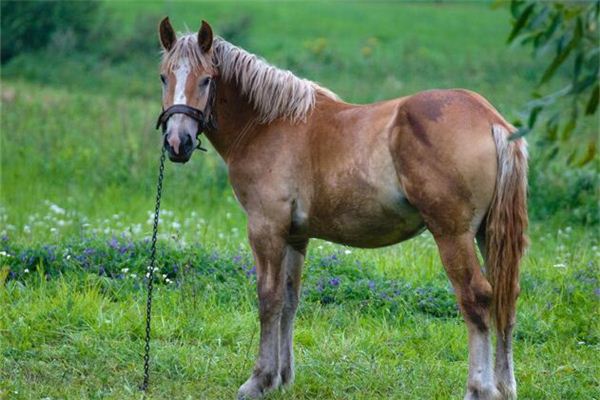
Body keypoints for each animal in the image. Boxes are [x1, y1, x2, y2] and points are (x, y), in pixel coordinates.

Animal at [156, 17, 528, 398]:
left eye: (206, 79)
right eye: (164, 77)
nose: (178, 143)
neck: (267, 124)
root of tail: (491, 120)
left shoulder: (266, 228)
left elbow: (268, 299)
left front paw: (259, 379)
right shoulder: (295, 236)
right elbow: (289, 301)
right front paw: (282, 377)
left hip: (453, 235)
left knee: (476, 298)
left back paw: (479, 388)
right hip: (487, 234)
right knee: (506, 296)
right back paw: (505, 385)